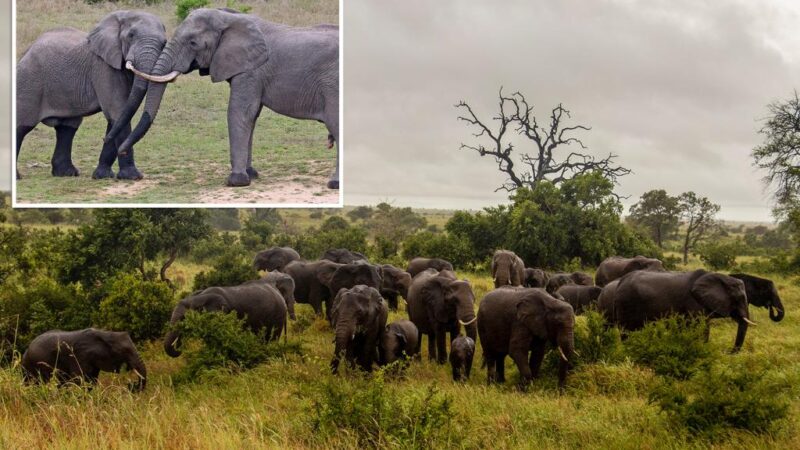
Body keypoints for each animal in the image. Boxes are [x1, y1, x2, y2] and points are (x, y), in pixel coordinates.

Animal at [14, 11, 166, 179]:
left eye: (164, 43)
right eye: (131, 35)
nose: (103, 139)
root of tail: (27, 51)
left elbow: (119, 117)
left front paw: (102, 176)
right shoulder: (103, 67)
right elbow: (117, 111)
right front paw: (132, 177)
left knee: (67, 127)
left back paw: (66, 173)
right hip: (29, 82)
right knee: (22, 126)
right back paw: (18, 177)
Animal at [111, 8, 340, 188]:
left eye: (193, 43)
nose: (121, 151)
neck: (229, 17)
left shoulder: (251, 71)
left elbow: (239, 112)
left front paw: (236, 181)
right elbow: (251, 117)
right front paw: (251, 175)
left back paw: (334, 184)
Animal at [608, 270, 756, 352]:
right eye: (739, 298)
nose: (728, 352)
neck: (722, 278)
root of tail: (620, 282)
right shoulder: (694, 303)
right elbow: (702, 329)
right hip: (626, 304)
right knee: (627, 332)